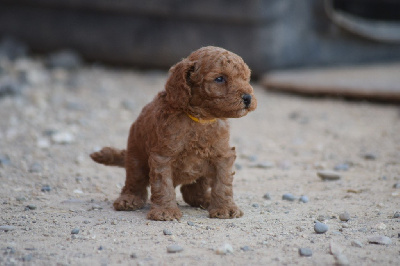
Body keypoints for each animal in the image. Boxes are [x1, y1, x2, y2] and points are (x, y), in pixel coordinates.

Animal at [90, 46, 256, 220]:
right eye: (219, 79)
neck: (200, 119)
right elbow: (163, 185)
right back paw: (129, 199)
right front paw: (165, 211)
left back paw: (205, 199)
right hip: (135, 157)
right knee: (135, 181)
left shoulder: (222, 155)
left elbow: (223, 183)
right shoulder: (163, 156)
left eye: (246, 78)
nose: (248, 98)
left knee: (191, 190)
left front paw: (225, 208)